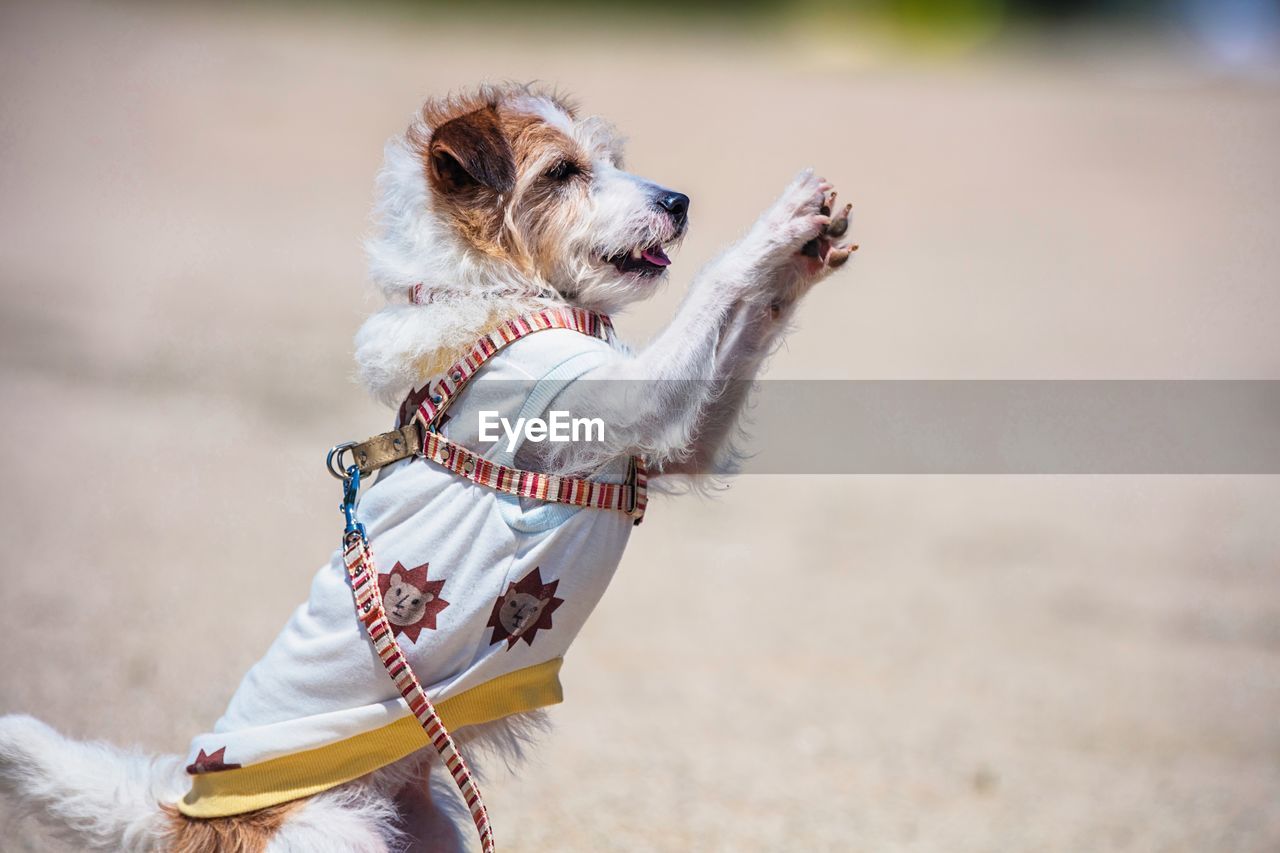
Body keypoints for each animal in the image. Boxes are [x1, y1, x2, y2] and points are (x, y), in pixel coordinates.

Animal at [2, 81, 860, 850]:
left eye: (611, 160)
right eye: (562, 172)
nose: (678, 202)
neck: (498, 294)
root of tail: (186, 815)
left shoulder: (674, 441)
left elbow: (749, 326)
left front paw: (807, 251)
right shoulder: (633, 397)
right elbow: (721, 282)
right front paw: (780, 224)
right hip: (334, 833)